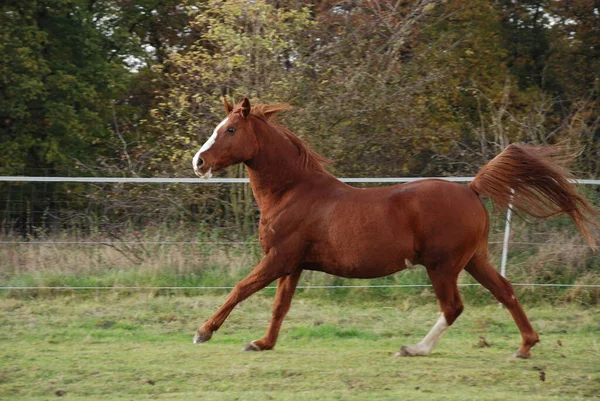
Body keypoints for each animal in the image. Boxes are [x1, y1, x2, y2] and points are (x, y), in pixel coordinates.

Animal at [192, 97, 600, 356]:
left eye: (230, 130)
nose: (198, 162)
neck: (292, 191)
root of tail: (470, 188)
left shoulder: (278, 258)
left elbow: (240, 289)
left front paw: (203, 332)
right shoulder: (292, 265)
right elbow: (280, 307)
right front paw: (262, 344)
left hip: (442, 266)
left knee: (453, 306)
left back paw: (414, 349)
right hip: (474, 260)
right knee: (506, 291)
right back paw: (525, 347)